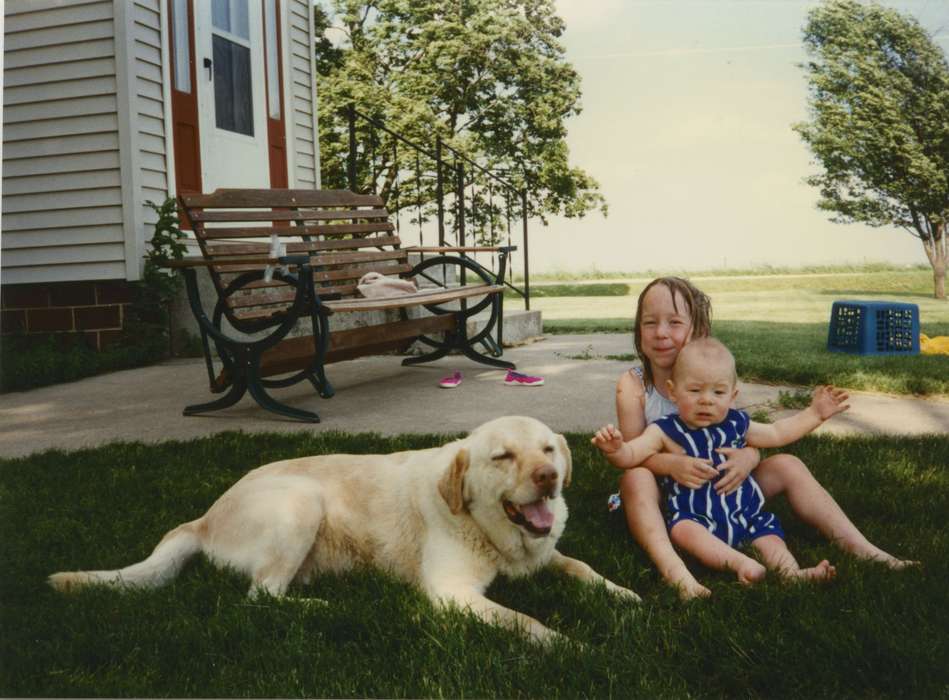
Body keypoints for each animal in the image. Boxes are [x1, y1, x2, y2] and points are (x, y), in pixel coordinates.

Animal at [48, 416, 640, 640]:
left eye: (547, 450)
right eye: (502, 456)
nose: (548, 478)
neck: (499, 537)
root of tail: (203, 517)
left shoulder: (545, 555)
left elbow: (581, 565)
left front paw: (624, 594)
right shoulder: (452, 594)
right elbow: (524, 620)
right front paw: (567, 645)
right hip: (300, 502)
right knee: (261, 596)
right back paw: (325, 607)